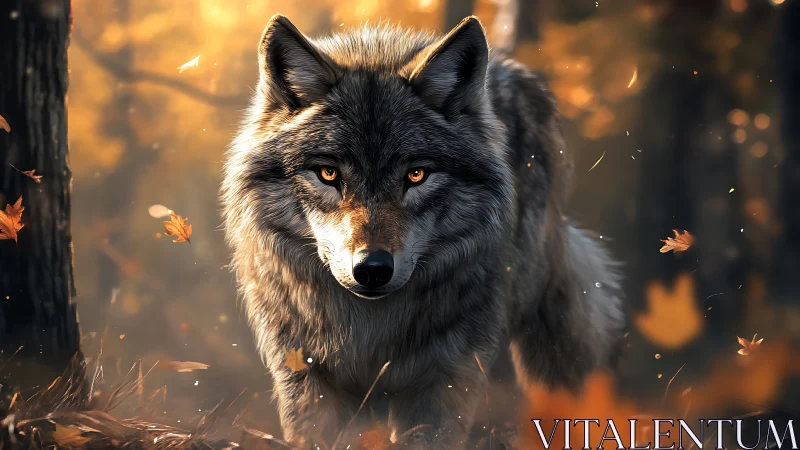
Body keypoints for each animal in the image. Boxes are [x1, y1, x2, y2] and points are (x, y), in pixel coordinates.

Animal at [221, 14, 624, 449]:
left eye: (416, 175)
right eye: (328, 174)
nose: (372, 268)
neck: (371, 327)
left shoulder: (446, 377)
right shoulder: (303, 373)